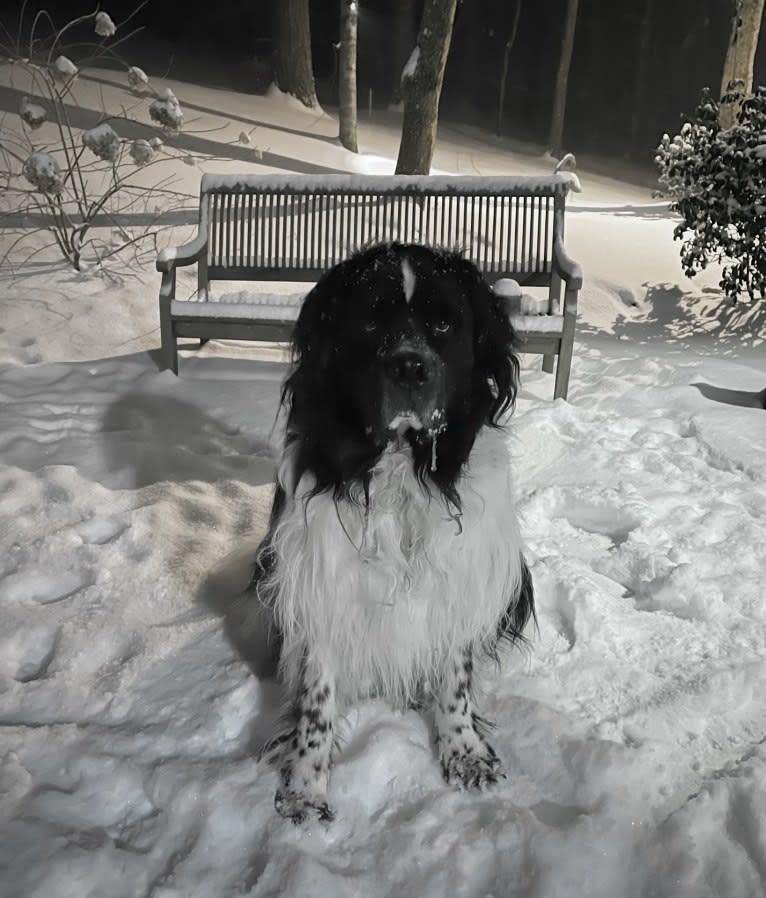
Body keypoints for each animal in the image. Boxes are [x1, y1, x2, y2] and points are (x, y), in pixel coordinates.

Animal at [252, 242, 536, 824]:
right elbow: (316, 696)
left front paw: (464, 752)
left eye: (444, 323)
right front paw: (305, 786)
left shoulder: (462, 576)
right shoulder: (319, 576)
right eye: (370, 321)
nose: (409, 365)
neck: (403, 464)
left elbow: (456, 678)